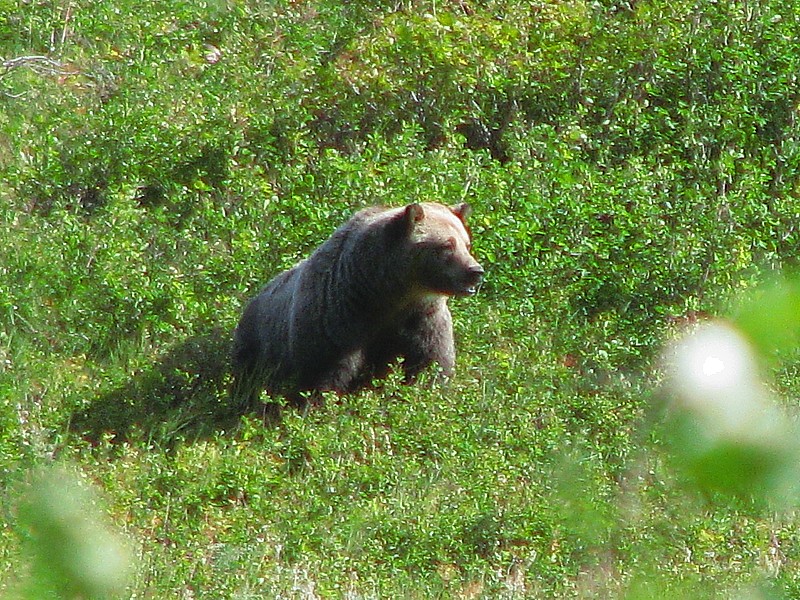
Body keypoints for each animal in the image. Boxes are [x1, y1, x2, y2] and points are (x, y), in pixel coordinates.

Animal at [231, 201, 484, 408]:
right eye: (446, 245)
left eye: (466, 243)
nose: (475, 271)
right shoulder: (339, 318)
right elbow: (324, 372)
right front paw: (317, 405)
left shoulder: (422, 318)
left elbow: (430, 363)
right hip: (257, 346)